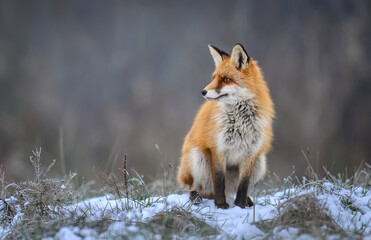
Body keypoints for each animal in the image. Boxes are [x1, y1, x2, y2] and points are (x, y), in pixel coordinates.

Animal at [179, 44, 274, 209]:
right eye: (213, 78)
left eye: (225, 79)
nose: (203, 91)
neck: (240, 121)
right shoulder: (218, 149)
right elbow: (219, 181)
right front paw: (221, 205)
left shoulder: (250, 153)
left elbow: (243, 185)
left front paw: (240, 206)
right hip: (197, 157)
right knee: (193, 187)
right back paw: (196, 197)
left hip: (260, 162)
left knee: (236, 189)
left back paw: (247, 201)